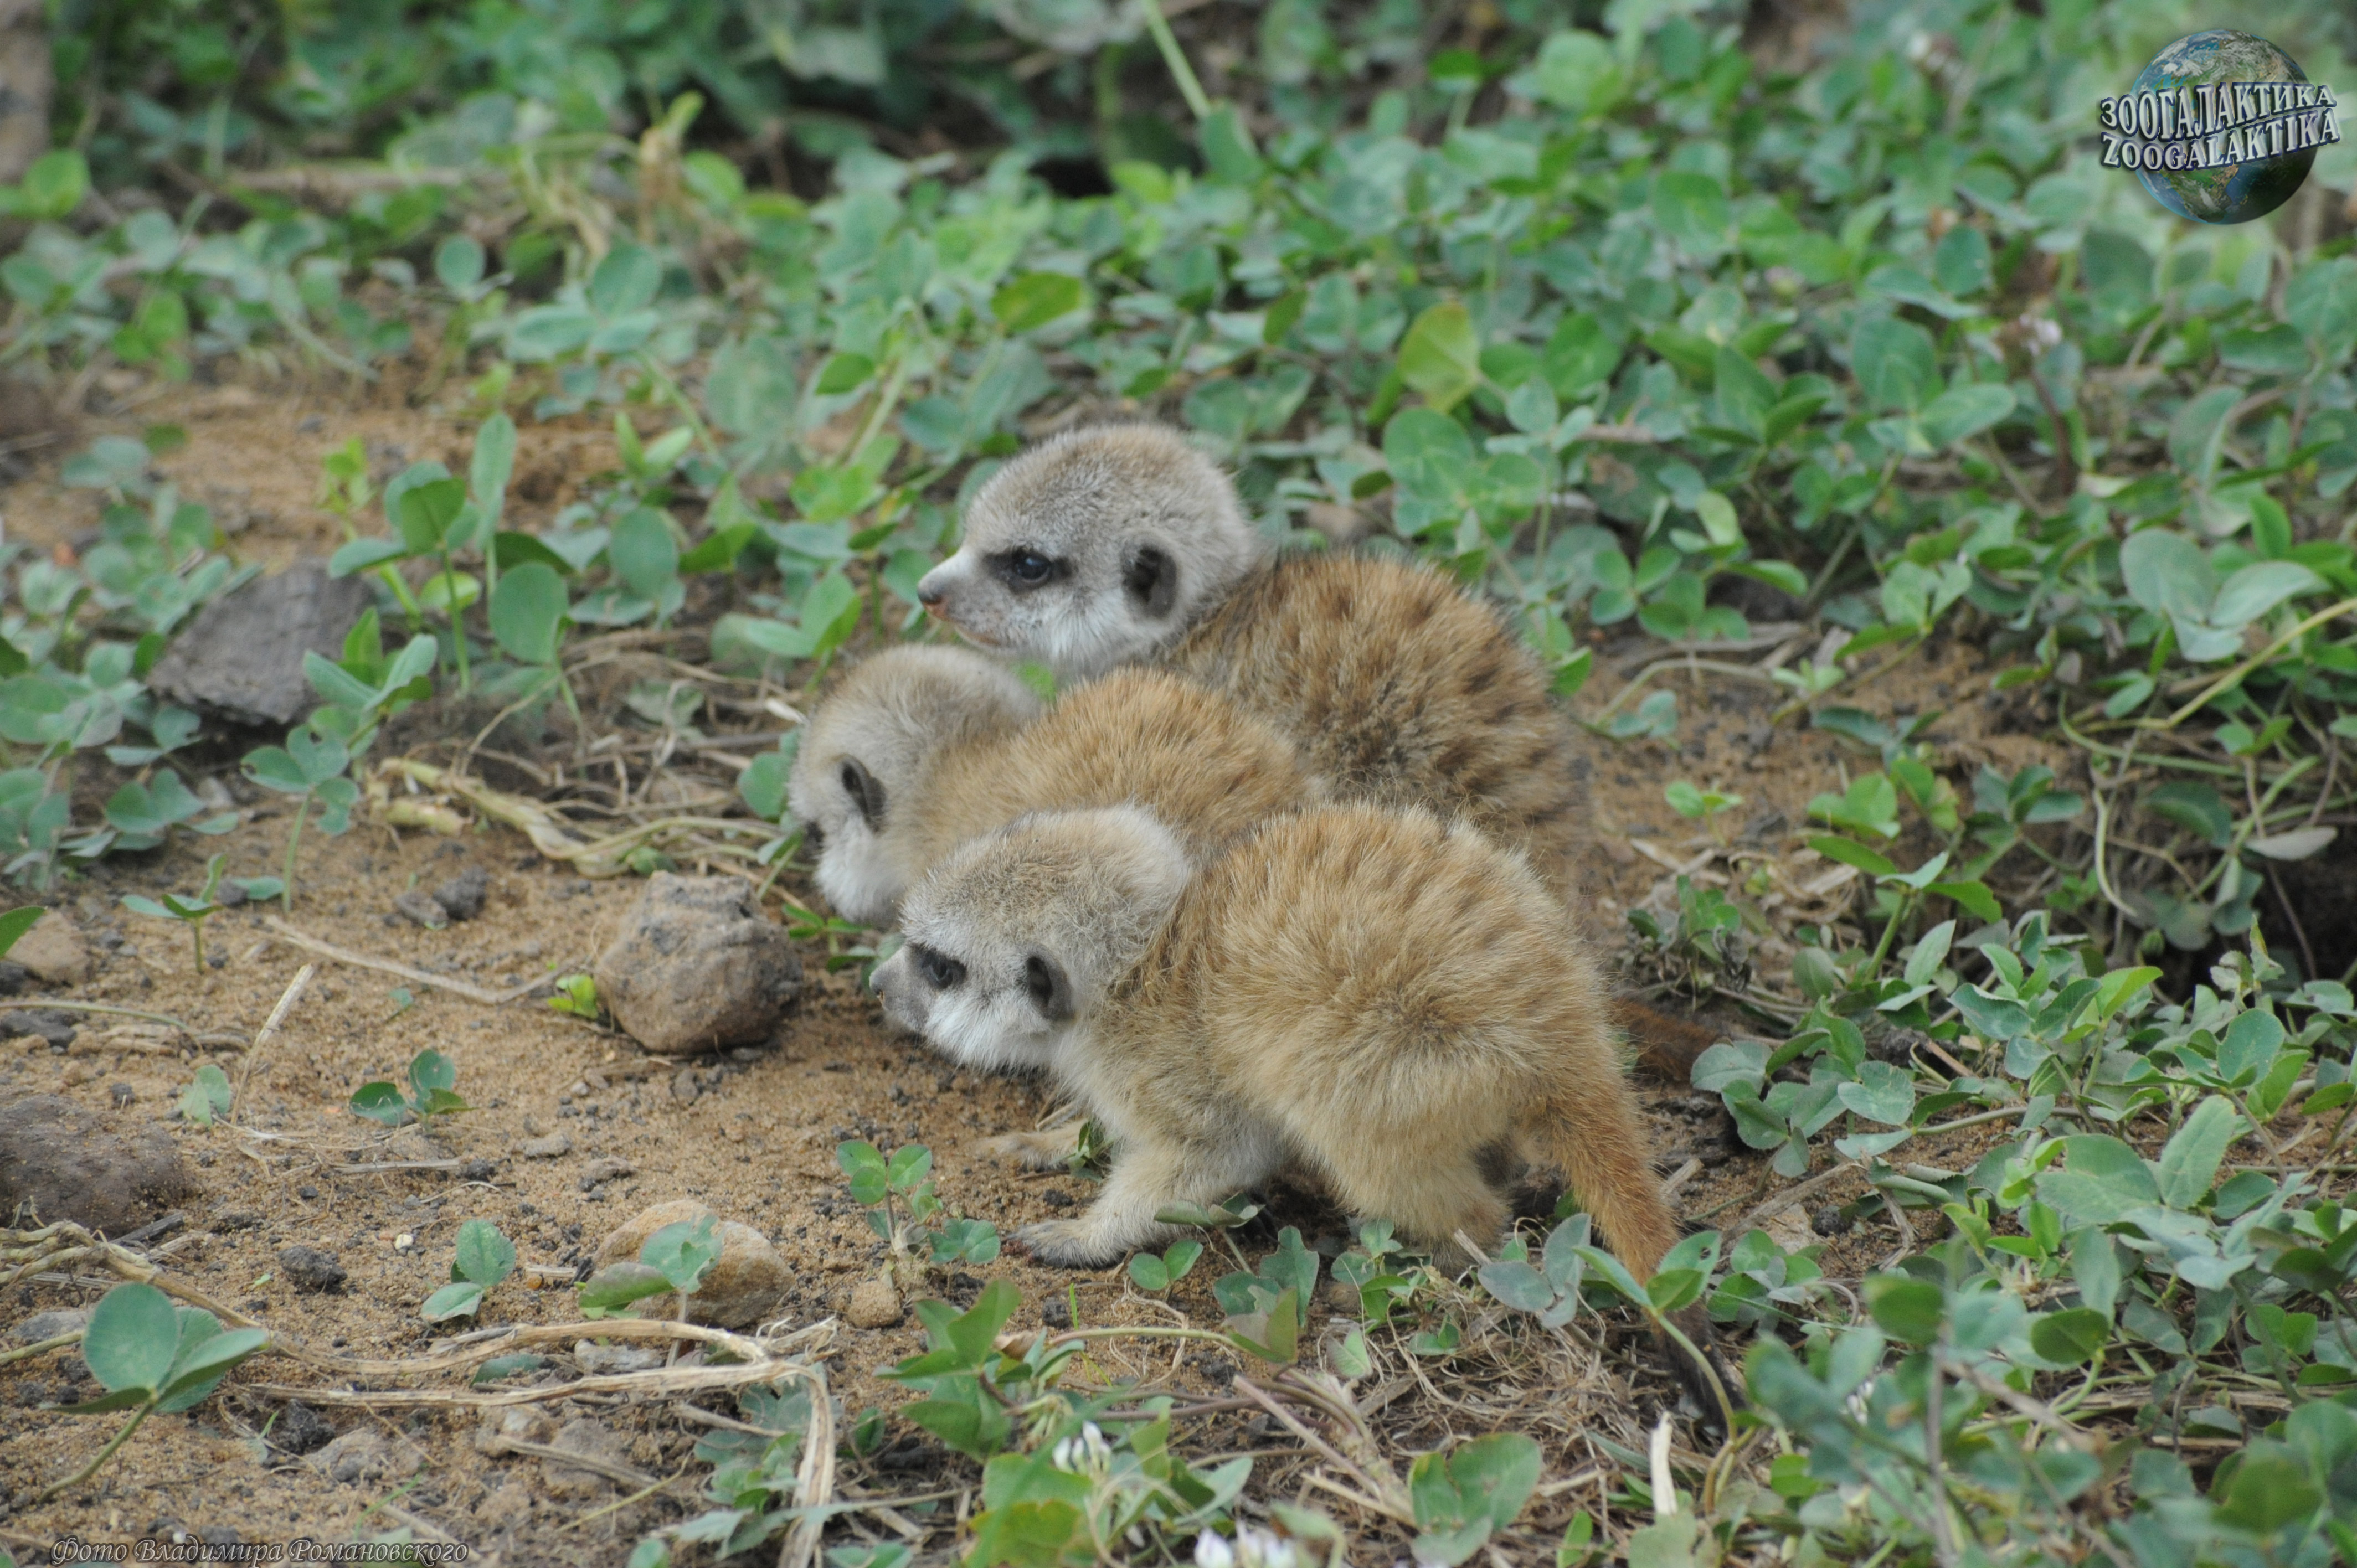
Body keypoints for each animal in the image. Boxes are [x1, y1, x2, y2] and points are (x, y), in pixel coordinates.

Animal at [869, 800, 1723, 1402]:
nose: (877, 985)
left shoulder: (1176, 1068)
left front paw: (1081, 1235)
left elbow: (1212, 1154)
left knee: (1407, 1175)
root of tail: (1566, 1020)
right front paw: (1046, 1140)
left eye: (939, 966)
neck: (1145, 966)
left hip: (1398, 1064)